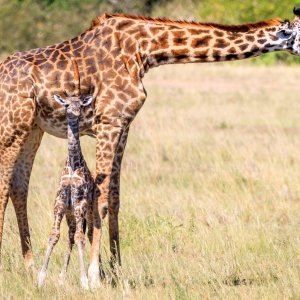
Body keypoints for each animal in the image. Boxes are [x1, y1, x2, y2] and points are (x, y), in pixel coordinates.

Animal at [0, 7, 300, 286]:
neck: (143, 51)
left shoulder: (124, 126)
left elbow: (115, 198)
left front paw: (116, 271)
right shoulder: (109, 122)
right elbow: (102, 199)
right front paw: (95, 275)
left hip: (32, 130)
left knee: (18, 188)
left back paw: (30, 267)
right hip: (12, 128)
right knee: (4, 187)